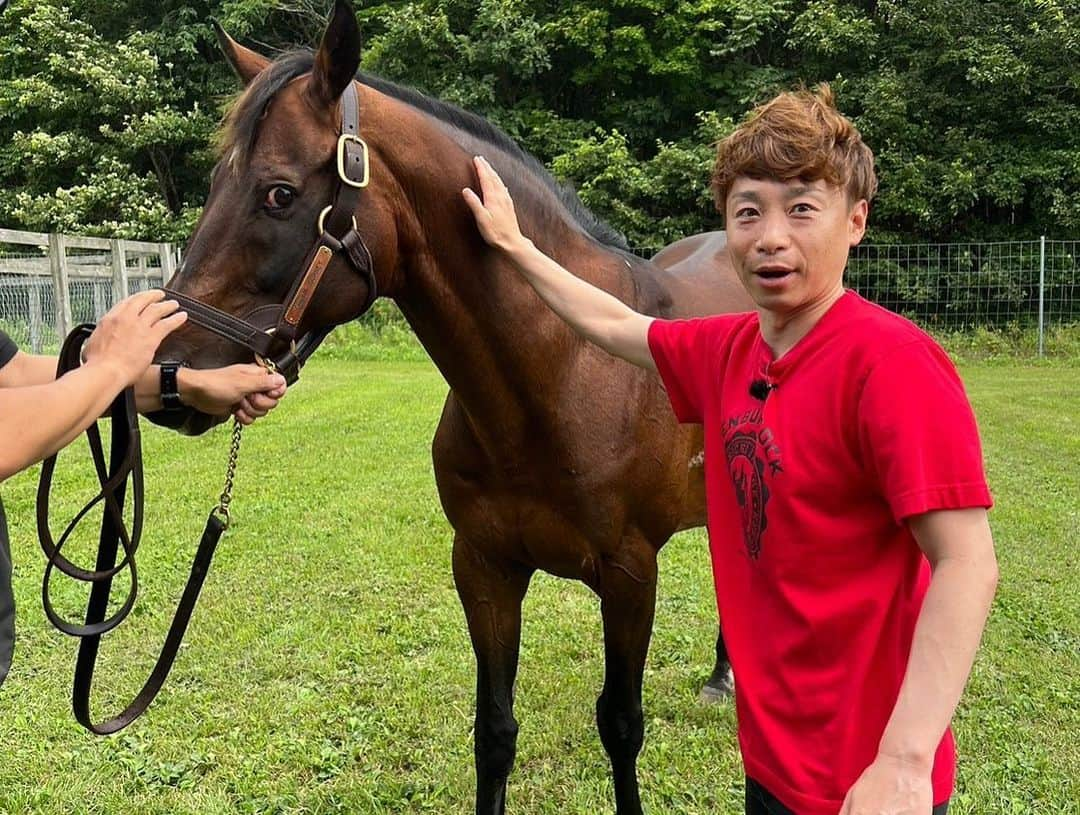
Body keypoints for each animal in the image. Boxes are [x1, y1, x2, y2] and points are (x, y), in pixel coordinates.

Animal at [154, 3, 751, 811]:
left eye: (278, 192)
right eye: (217, 182)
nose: (170, 373)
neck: (563, 371)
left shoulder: (630, 577)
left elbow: (622, 726)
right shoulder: (483, 567)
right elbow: (494, 731)